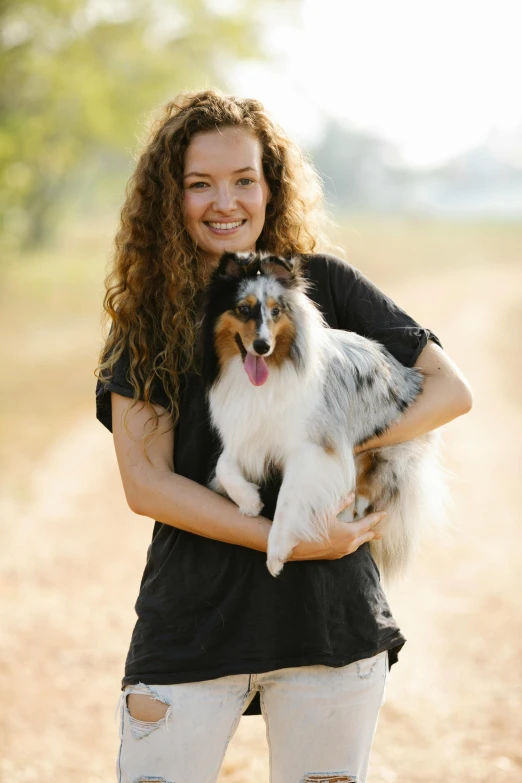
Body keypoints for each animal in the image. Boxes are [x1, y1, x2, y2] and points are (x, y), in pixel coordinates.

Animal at [198, 254, 442, 580]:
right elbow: (224, 464)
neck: (272, 372)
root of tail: (411, 376)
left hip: (389, 452)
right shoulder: (249, 431)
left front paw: (276, 552)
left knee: (365, 495)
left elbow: (288, 498)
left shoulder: (312, 448)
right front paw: (249, 501)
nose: (262, 346)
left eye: (276, 311)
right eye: (243, 309)